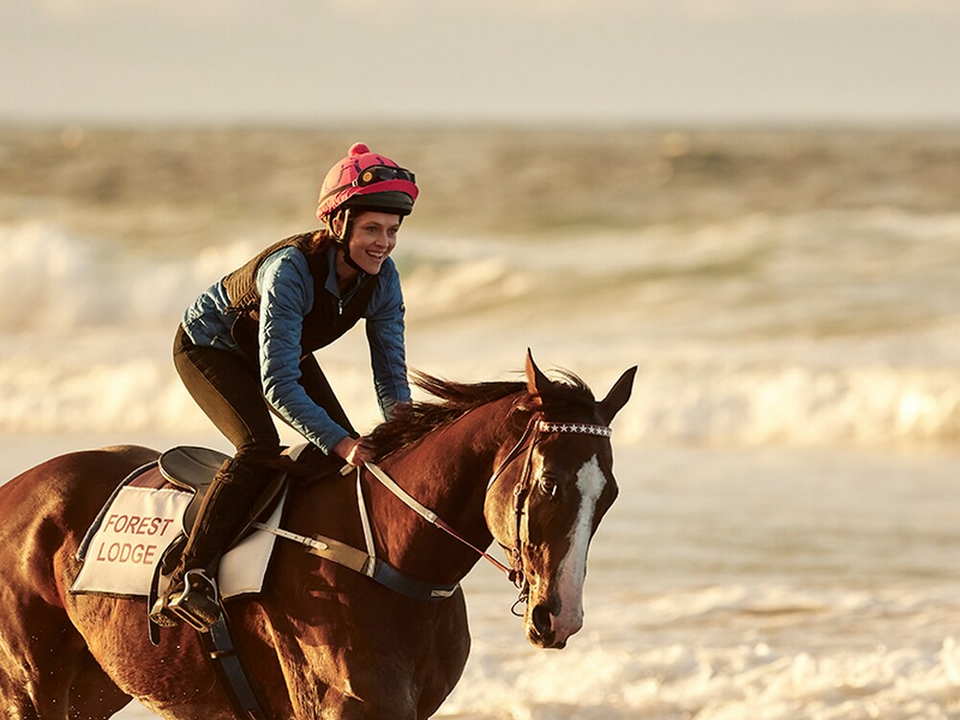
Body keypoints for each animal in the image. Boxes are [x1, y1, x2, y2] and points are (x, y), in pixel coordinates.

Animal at [0, 356, 636, 720]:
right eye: (549, 484)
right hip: (33, 686)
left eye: (608, 495)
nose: (560, 616)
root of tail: (15, 489)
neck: (392, 562)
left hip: (94, 687)